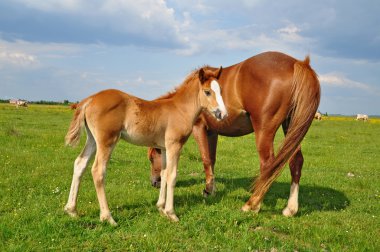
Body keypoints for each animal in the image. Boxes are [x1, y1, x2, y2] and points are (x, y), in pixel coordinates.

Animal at [148, 50, 320, 217]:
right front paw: (211, 189)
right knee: (295, 161)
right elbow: (212, 159)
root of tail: (297, 63)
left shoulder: (199, 128)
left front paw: (208, 190)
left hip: (264, 130)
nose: (154, 183)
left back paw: (252, 205)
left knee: (268, 165)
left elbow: (205, 159)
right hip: (291, 127)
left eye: (151, 158)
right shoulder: (212, 132)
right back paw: (290, 209)